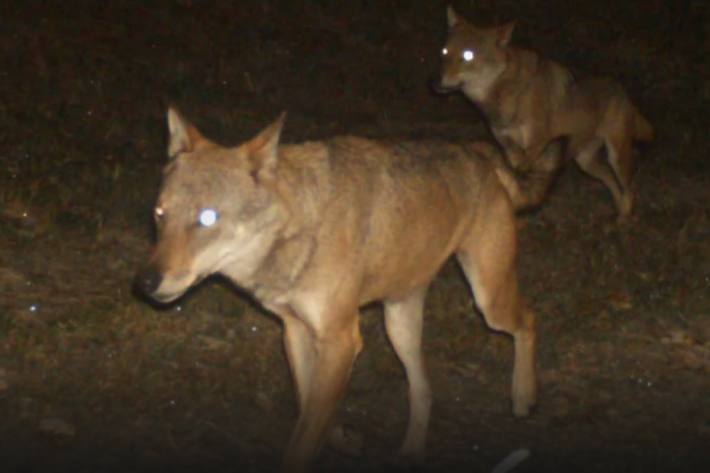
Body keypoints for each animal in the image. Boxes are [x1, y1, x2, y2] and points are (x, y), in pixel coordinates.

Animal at [136, 109, 540, 472]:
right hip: (399, 323)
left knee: (529, 318)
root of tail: (480, 153)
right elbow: (308, 405)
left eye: (207, 218)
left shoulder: (341, 340)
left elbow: (303, 436)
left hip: (488, 302)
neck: (299, 225)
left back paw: (524, 396)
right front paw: (341, 438)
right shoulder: (295, 331)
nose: (145, 282)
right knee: (424, 390)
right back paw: (411, 451)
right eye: (159, 214)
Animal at [432, 5, 652, 219]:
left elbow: (523, 176)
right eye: (444, 51)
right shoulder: (509, 147)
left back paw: (625, 220)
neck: (510, 91)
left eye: (468, 55)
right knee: (612, 183)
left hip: (616, 158)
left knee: (630, 188)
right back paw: (618, 217)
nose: (435, 81)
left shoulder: (536, 144)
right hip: (585, 162)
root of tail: (622, 91)